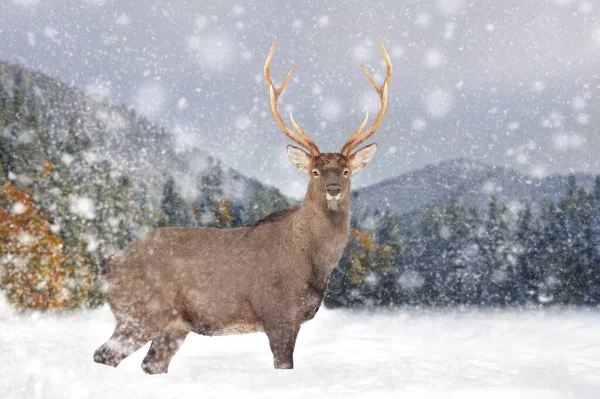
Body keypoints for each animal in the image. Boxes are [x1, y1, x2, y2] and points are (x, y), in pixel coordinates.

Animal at [92, 36, 394, 374]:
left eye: (346, 171)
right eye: (314, 171)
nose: (333, 190)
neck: (312, 261)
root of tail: (109, 264)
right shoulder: (277, 312)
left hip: (174, 326)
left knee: (150, 364)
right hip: (140, 312)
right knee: (104, 355)